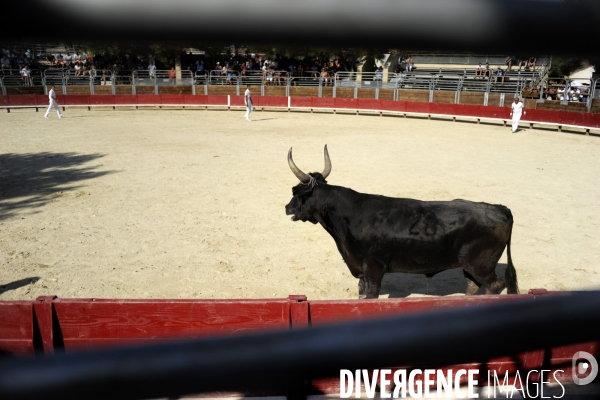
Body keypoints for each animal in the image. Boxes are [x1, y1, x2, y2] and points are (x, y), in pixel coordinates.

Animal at [284, 145, 516, 298]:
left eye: (296, 191)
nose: (287, 208)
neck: (351, 215)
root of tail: (500, 209)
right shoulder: (360, 269)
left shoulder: (374, 269)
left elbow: (371, 296)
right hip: (469, 266)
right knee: (473, 286)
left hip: (481, 265)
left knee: (496, 285)